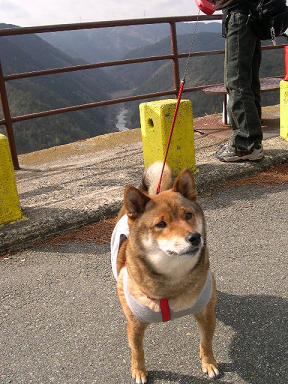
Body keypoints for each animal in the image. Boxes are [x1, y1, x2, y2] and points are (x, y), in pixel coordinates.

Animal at [111, 164, 218, 382]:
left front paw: (208, 363)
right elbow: (137, 351)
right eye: (161, 224)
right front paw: (139, 370)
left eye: (188, 215)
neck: (172, 280)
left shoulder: (206, 313)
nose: (195, 237)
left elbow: (206, 342)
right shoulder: (135, 325)